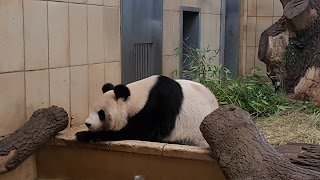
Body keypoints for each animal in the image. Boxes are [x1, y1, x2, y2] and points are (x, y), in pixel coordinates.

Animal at [76, 75, 219, 147]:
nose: (88, 123)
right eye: (92, 109)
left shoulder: (157, 107)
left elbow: (136, 133)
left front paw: (82, 134)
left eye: (101, 113)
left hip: (194, 136)